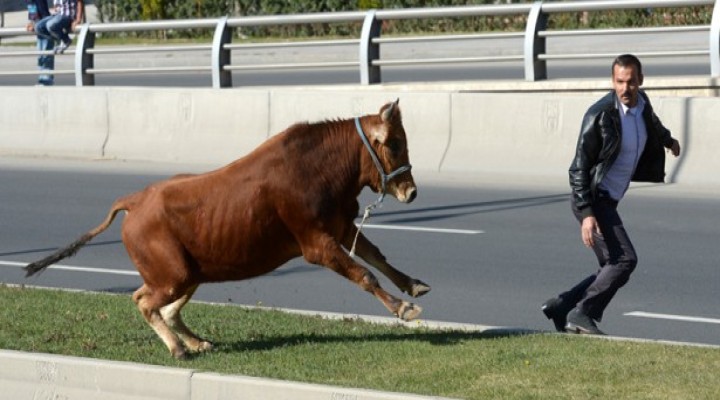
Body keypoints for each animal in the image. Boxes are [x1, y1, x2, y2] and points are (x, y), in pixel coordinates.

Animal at [26, 100, 434, 360]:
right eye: (394, 143)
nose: (411, 191)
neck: (321, 167)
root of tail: (135, 200)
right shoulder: (316, 243)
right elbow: (364, 274)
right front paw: (404, 308)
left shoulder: (341, 225)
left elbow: (375, 256)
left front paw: (413, 285)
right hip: (174, 273)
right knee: (144, 301)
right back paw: (178, 348)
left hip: (188, 273)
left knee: (162, 306)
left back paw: (196, 343)